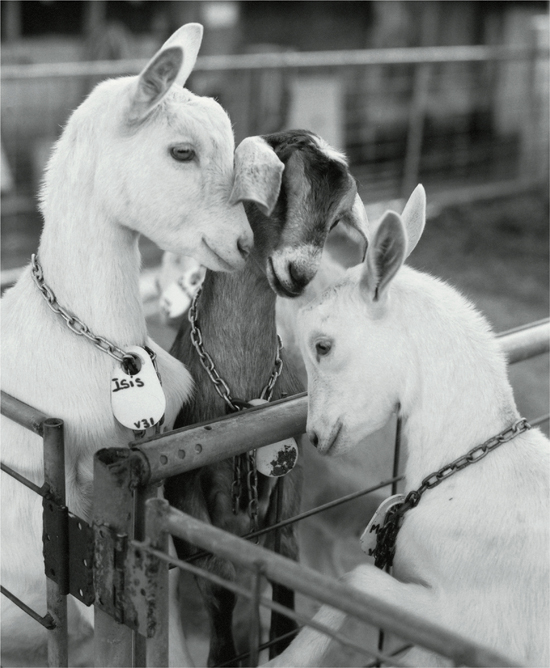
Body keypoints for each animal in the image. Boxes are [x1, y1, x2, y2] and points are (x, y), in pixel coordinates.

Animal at [166, 130, 368, 668]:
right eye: (278, 192)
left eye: (336, 220)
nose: (299, 272)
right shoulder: (183, 490)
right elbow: (218, 584)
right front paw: (224, 656)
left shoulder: (289, 479)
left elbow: (284, 561)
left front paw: (280, 644)